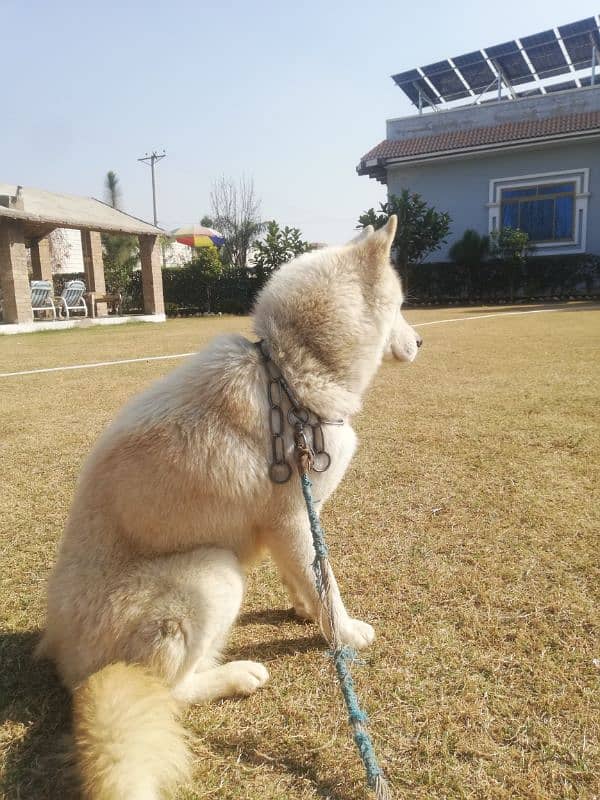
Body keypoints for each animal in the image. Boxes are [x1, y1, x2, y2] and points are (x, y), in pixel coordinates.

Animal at [37, 214, 422, 800]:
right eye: (400, 305)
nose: (421, 339)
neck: (289, 372)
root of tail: (74, 669)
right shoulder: (293, 517)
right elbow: (328, 585)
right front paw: (344, 634)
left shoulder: (287, 524)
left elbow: (306, 577)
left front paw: (304, 610)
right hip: (212, 574)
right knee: (170, 693)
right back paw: (238, 675)